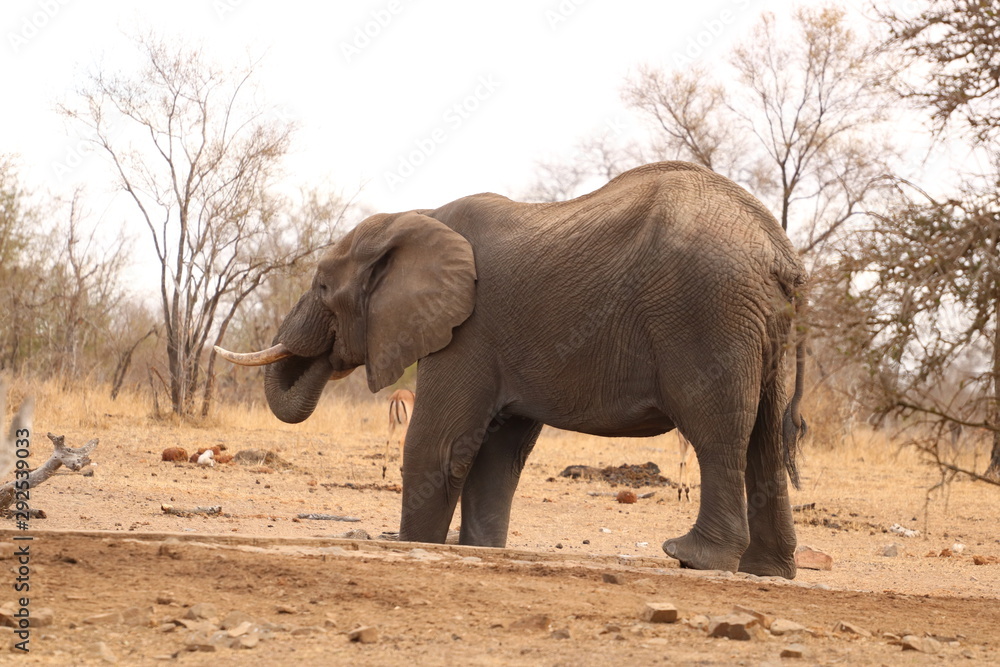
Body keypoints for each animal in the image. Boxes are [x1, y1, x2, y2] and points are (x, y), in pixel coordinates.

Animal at [217, 161, 808, 578]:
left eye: (322, 286)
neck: (415, 215)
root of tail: (779, 250)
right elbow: (498, 454)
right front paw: (479, 549)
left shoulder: (468, 328)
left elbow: (438, 445)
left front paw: (413, 546)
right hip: (760, 326)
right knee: (763, 438)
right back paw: (768, 572)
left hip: (706, 315)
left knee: (716, 433)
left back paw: (691, 557)